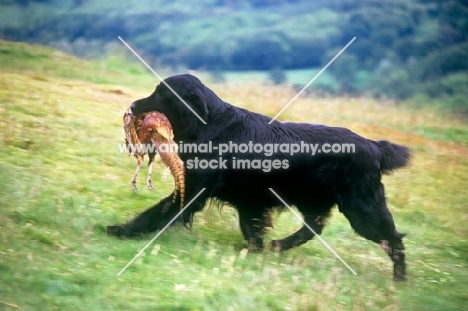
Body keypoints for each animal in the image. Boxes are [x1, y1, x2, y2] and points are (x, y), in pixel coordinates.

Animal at [109, 75, 410, 280]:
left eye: (162, 94)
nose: (133, 106)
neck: (211, 126)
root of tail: (375, 146)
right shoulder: (249, 201)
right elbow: (252, 229)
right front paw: (257, 251)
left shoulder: (194, 191)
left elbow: (156, 212)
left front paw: (122, 230)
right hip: (315, 199)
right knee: (315, 226)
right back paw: (280, 245)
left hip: (362, 210)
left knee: (393, 239)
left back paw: (400, 279)